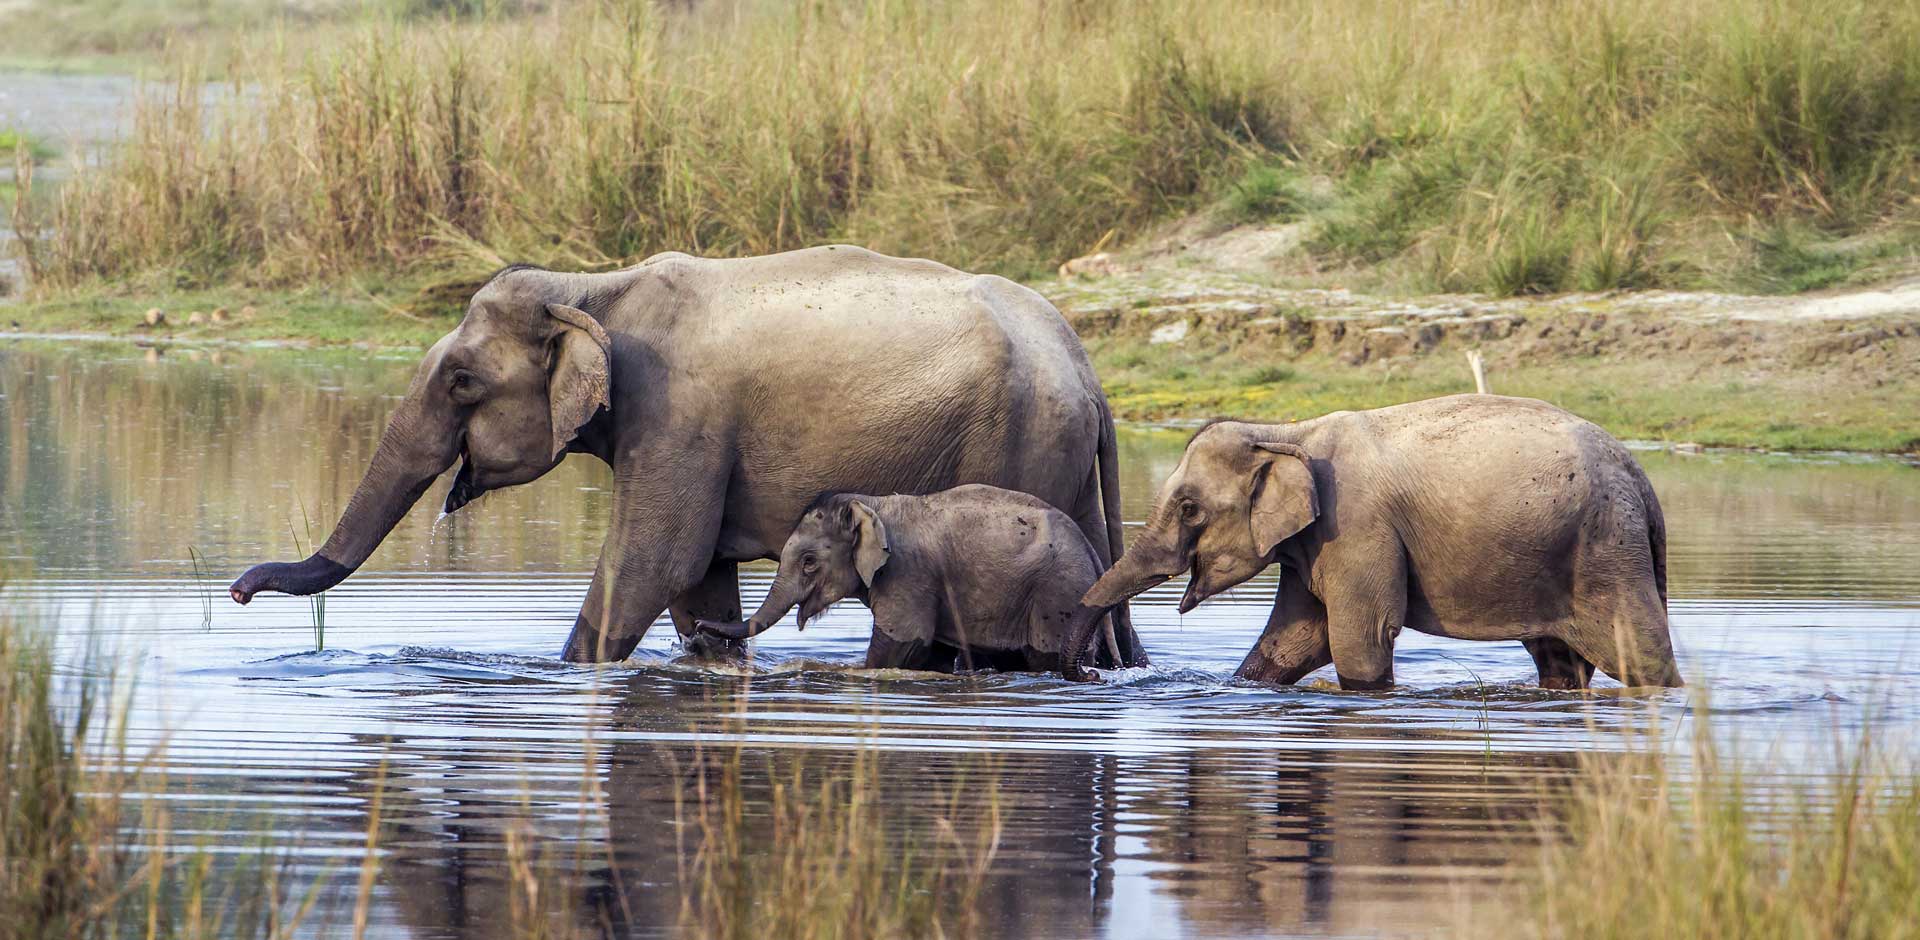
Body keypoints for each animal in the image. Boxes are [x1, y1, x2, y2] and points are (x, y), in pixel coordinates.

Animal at [698, 485, 1128, 675]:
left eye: (808, 562)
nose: (699, 628)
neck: (873, 503)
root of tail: (1093, 553)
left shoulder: (909, 574)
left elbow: (902, 645)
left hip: (1057, 594)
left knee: (1045, 654)